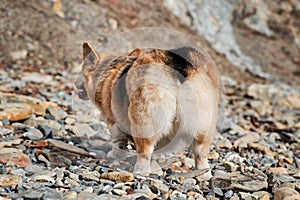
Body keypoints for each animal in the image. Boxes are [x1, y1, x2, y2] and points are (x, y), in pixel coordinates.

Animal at [75, 42, 220, 180]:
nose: (75, 86)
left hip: (144, 120)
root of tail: (180, 66)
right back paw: (204, 174)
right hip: (204, 124)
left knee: (144, 151)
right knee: (200, 153)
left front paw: (114, 154)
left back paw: (139, 172)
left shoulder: (113, 122)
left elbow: (118, 142)